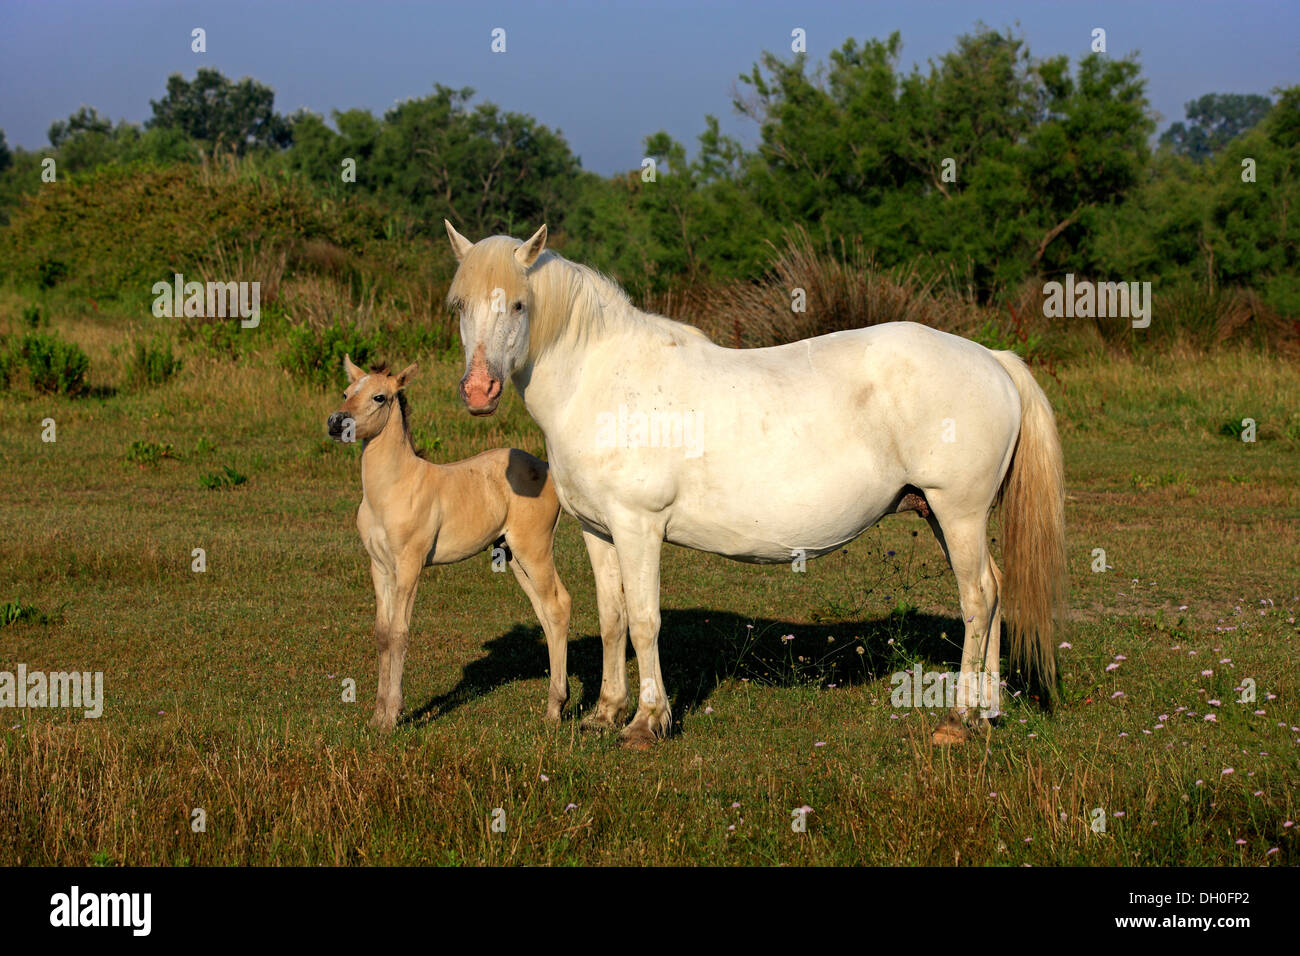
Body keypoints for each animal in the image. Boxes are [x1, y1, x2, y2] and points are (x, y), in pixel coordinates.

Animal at [325, 356, 569, 728]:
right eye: (346, 392)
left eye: (380, 397)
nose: (337, 424)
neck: (392, 488)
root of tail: (545, 468)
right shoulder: (379, 567)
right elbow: (382, 633)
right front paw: (377, 716)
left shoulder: (409, 565)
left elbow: (399, 633)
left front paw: (392, 717)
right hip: (513, 556)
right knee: (545, 613)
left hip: (535, 550)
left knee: (558, 606)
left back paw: (554, 710)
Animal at [441, 222, 1060, 749]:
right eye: (460, 305)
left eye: (518, 304)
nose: (478, 390)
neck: (600, 381)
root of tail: (993, 359)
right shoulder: (600, 531)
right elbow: (613, 617)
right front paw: (604, 712)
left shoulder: (638, 528)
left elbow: (644, 621)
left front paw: (647, 722)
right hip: (941, 514)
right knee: (995, 589)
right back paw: (987, 712)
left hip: (957, 511)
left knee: (977, 597)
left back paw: (958, 719)